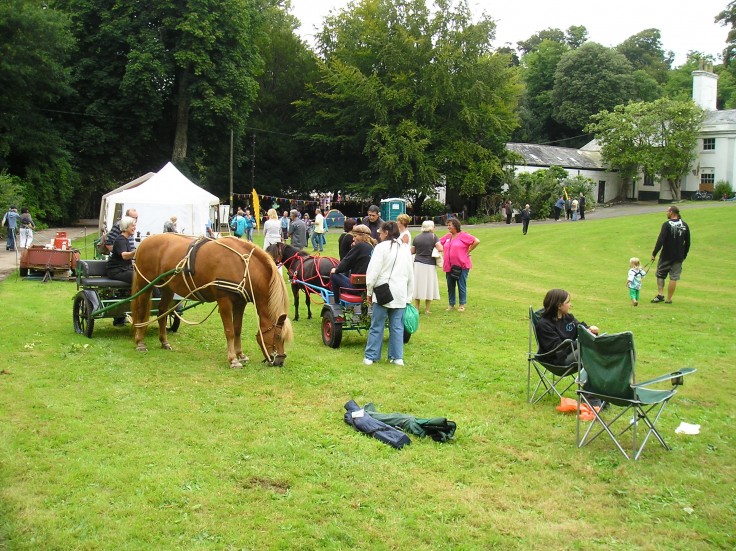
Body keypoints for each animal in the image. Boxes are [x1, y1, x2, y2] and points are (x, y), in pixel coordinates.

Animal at [131, 234, 293, 368]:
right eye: (278, 336)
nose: (280, 361)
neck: (241, 266)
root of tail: (144, 241)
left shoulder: (240, 303)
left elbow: (238, 329)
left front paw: (240, 354)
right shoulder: (224, 300)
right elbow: (229, 331)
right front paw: (233, 359)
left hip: (167, 287)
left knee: (162, 312)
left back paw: (164, 342)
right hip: (145, 284)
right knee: (141, 311)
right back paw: (140, 342)